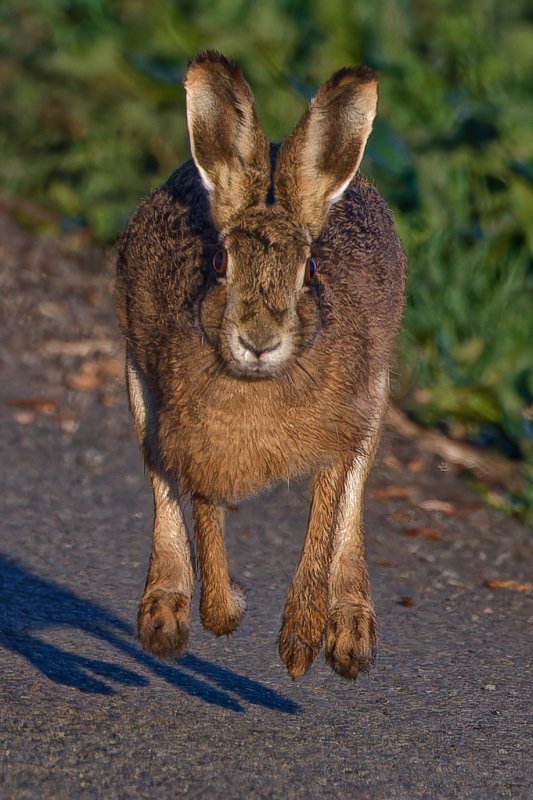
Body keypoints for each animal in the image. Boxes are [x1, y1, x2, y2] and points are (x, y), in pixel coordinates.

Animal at [116, 51, 406, 681]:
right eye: (220, 262)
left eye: (310, 269)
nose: (258, 340)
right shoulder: (194, 443)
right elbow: (203, 523)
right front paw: (229, 609)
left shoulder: (341, 430)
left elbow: (326, 516)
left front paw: (299, 642)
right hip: (140, 390)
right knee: (160, 492)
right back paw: (163, 618)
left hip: (374, 396)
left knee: (351, 510)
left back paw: (349, 635)